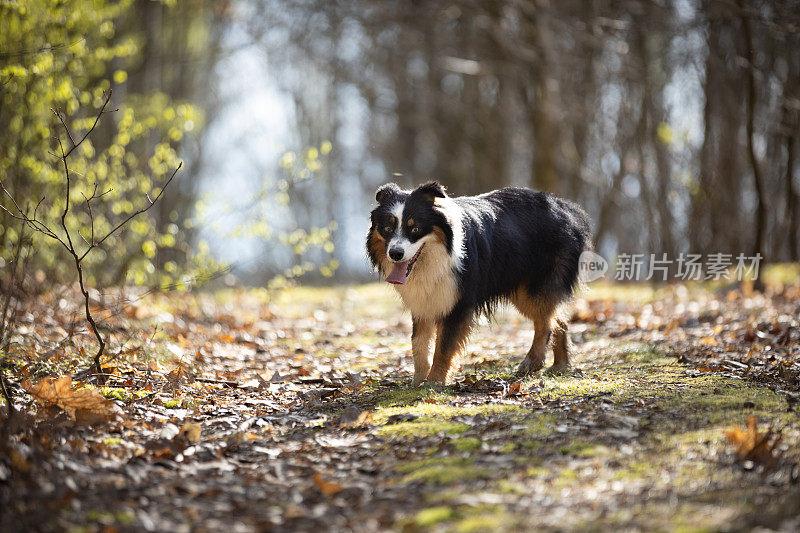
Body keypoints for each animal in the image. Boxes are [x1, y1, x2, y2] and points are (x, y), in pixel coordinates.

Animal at [366, 181, 592, 384]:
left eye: (415, 229)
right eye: (387, 228)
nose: (395, 254)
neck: (435, 256)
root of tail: (567, 208)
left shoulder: (459, 299)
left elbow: (445, 345)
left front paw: (434, 381)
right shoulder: (426, 300)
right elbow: (419, 342)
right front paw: (418, 381)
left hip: (536, 283)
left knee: (545, 322)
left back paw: (532, 362)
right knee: (558, 318)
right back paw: (560, 366)